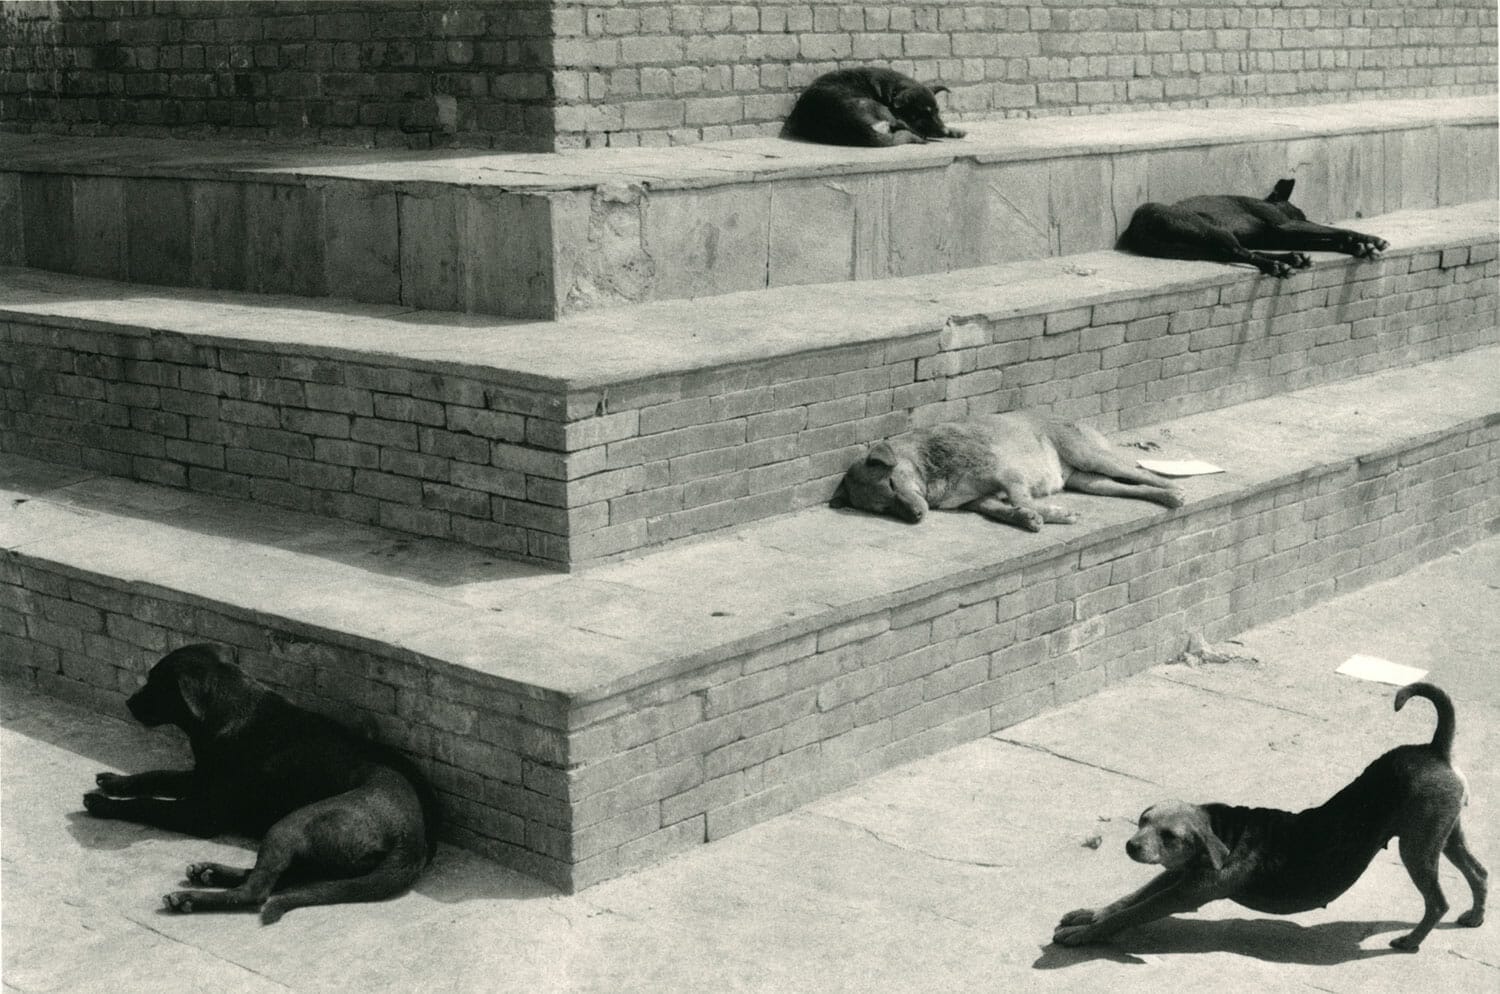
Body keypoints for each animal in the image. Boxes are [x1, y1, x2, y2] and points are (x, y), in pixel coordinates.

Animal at [85, 644, 438, 923]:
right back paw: (209, 872)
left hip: (292, 823)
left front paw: (102, 803)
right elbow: (156, 775)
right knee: (279, 876)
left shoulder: (202, 814)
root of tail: (412, 841)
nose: (128, 702)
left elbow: (148, 804)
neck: (229, 708)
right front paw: (114, 780)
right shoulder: (200, 778)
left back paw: (190, 898)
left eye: (155, 682)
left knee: (257, 891)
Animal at [780, 65, 966, 146]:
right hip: (874, 107)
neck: (892, 90)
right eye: (921, 114)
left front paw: (954, 131)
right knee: (907, 128)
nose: (943, 132)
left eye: (937, 112)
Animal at [834, 410, 1182, 533]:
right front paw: (1026, 518)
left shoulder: (1007, 474)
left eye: (893, 484)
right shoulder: (977, 499)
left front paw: (1050, 513)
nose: (916, 517)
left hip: (1090, 457)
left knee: (1144, 474)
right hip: (1091, 481)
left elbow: (1021, 499)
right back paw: (1162, 497)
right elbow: (1001, 510)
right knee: (1132, 488)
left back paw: (1173, 491)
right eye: (883, 508)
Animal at [1056, 683, 1488, 959]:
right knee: (1479, 873)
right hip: (1444, 834)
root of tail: (1434, 749)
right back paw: (1476, 917)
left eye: (1168, 835)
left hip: (1417, 847)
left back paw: (1412, 941)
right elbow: (1126, 899)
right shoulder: (1177, 875)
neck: (1222, 832)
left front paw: (1083, 934)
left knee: (1437, 901)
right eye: (1142, 821)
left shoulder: (1184, 893)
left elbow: (1130, 912)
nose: (1130, 846)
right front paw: (1089, 914)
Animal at [1122, 179, 1386, 277]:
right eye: (1299, 212)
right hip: (1211, 230)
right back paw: (1278, 264)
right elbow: (1334, 231)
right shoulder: (1286, 225)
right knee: (1240, 252)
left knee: (1243, 252)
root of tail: (1137, 229)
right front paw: (1369, 240)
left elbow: (1326, 240)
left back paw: (1291, 258)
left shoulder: (1279, 236)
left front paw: (1358, 246)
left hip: (1206, 243)